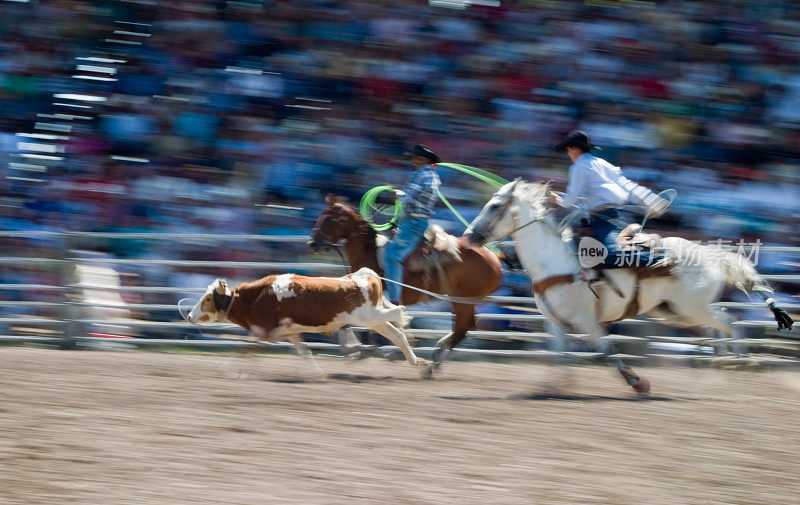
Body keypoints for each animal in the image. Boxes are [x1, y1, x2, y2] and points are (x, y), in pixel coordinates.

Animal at [188, 268, 428, 378]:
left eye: (207, 299)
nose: (189, 316)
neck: (254, 297)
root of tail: (365, 275)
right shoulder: (288, 331)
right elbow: (303, 350)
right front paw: (313, 372)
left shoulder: (261, 330)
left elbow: (245, 349)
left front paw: (227, 369)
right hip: (373, 319)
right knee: (396, 334)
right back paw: (417, 361)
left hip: (368, 316)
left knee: (399, 312)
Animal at [310, 195, 504, 372]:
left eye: (329, 218)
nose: (312, 243)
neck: (370, 253)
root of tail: (495, 257)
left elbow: (363, 327)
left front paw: (356, 349)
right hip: (462, 300)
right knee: (464, 326)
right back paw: (437, 357)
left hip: (462, 299)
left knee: (463, 327)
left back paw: (435, 359)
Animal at [462, 179, 792, 392]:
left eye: (494, 206)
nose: (469, 236)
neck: (554, 260)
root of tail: (711, 254)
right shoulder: (554, 322)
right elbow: (558, 354)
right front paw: (554, 387)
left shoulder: (586, 319)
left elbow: (605, 351)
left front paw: (638, 382)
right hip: (674, 311)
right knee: (722, 321)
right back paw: (724, 361)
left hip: (692, 308)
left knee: (730, 320)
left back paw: (740, 362)